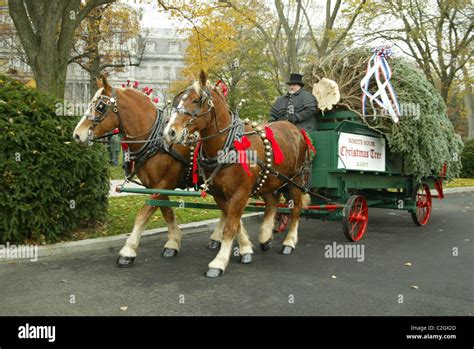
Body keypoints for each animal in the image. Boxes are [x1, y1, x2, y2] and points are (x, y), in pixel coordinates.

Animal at [71, 75, 254, 266]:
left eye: (100, 106)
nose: (77, 134)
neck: (154, 140)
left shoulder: (164, 183)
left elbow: (144, 213)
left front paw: (128, 250)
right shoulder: (157, 186)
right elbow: (166, 213)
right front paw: (173, 243)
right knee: (226, 209)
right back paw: (217, 238)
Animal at [163, 70, 312, 278]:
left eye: (196, 100)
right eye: (179, 100)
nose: (170, 132)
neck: (228, 144)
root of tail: (295, 129)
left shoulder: (241, 193)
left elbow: (230, 227)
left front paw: (218, 262)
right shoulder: (220, 194)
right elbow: (235, 223)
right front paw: (245, 249)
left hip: (295, 179)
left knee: (296, 209)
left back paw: (289, 242)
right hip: (268, 180)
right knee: (272, 204)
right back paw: (265, 237)